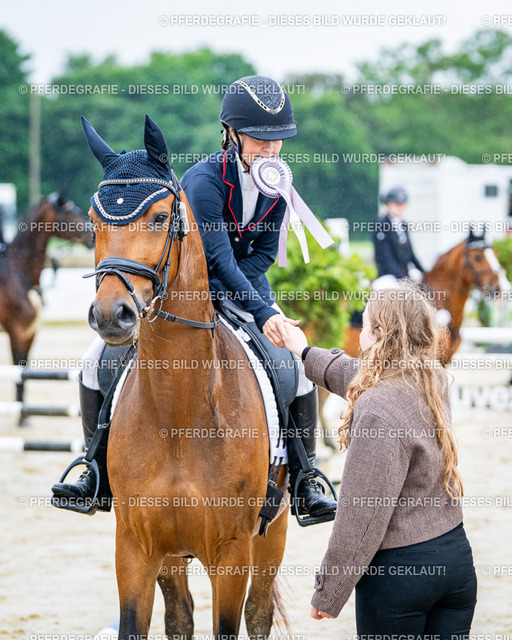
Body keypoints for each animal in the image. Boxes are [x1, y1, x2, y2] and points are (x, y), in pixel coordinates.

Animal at [0, 191, 92, 411]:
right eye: (70, 213)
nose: (91, 236)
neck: (20, 273)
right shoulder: (16, 330)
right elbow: (19, 375)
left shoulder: (30, 333)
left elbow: (24, 375)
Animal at [82, 117, 289, 640]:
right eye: (92, 223)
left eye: (160, 219)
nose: (111, 316)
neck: (179, 410)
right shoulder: (135, 548)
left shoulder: (233, 552)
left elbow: (230, 625)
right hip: (172, 555)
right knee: (179, 615)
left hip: (272, 533)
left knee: (259, 615)